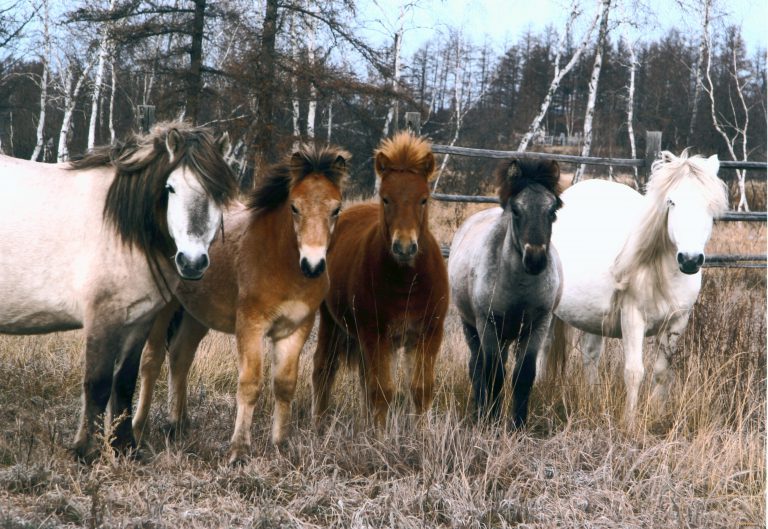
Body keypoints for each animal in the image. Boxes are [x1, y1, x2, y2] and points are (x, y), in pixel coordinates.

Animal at [0, 120, 237, 458]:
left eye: (218, 193)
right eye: (170, 188)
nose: (192, 262)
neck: (120, 228)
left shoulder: (139, 319)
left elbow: (124, 382)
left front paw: (125, 447)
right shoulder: (103, 317)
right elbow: (98, 383)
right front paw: (85, 451)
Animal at [132, 144, 348, 462]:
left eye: (336, 209)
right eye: (294, 207)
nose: (313, 265)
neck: (282, 263)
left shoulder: (296, 328)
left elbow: (285, 385)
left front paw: (280, 445)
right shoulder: (251, 326)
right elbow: (250, 384)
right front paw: (239, 450)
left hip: (197, 315)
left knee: (181, 356)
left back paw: (177, 424)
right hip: (164, 309)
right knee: (152, 361)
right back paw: (137, 429)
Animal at [308, 131, 448, 428]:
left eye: (424, 199)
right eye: (386, 198)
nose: (404, 247)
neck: (407, 283)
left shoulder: (428, 334)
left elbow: (420, 389)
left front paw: (421, 435)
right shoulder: (377, 334)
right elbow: (382, 391)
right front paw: (378, 436)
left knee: (362, 378)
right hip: (332, 322)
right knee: (324, 369)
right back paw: (318, 425)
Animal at [450, 158, 564, 424]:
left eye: (552, 212)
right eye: (516, 210)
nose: (535, 260)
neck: (519, 288)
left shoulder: (536, 327)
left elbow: (523, 376)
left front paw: (518, 424)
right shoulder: (488, 325)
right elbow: (494, 375)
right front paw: (491, 420)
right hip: (473, 328)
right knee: (477, 367)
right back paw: (480, 411)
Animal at [544, 150, 728, 420]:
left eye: (710, 205)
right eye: (671, 202)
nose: (690, 259)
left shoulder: (677, 322)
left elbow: (662, 373)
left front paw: (657, 414)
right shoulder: (632, 319)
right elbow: (634, 373)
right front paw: (630, 422)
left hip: (592, 318)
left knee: (590, 355)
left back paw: (592, 396)